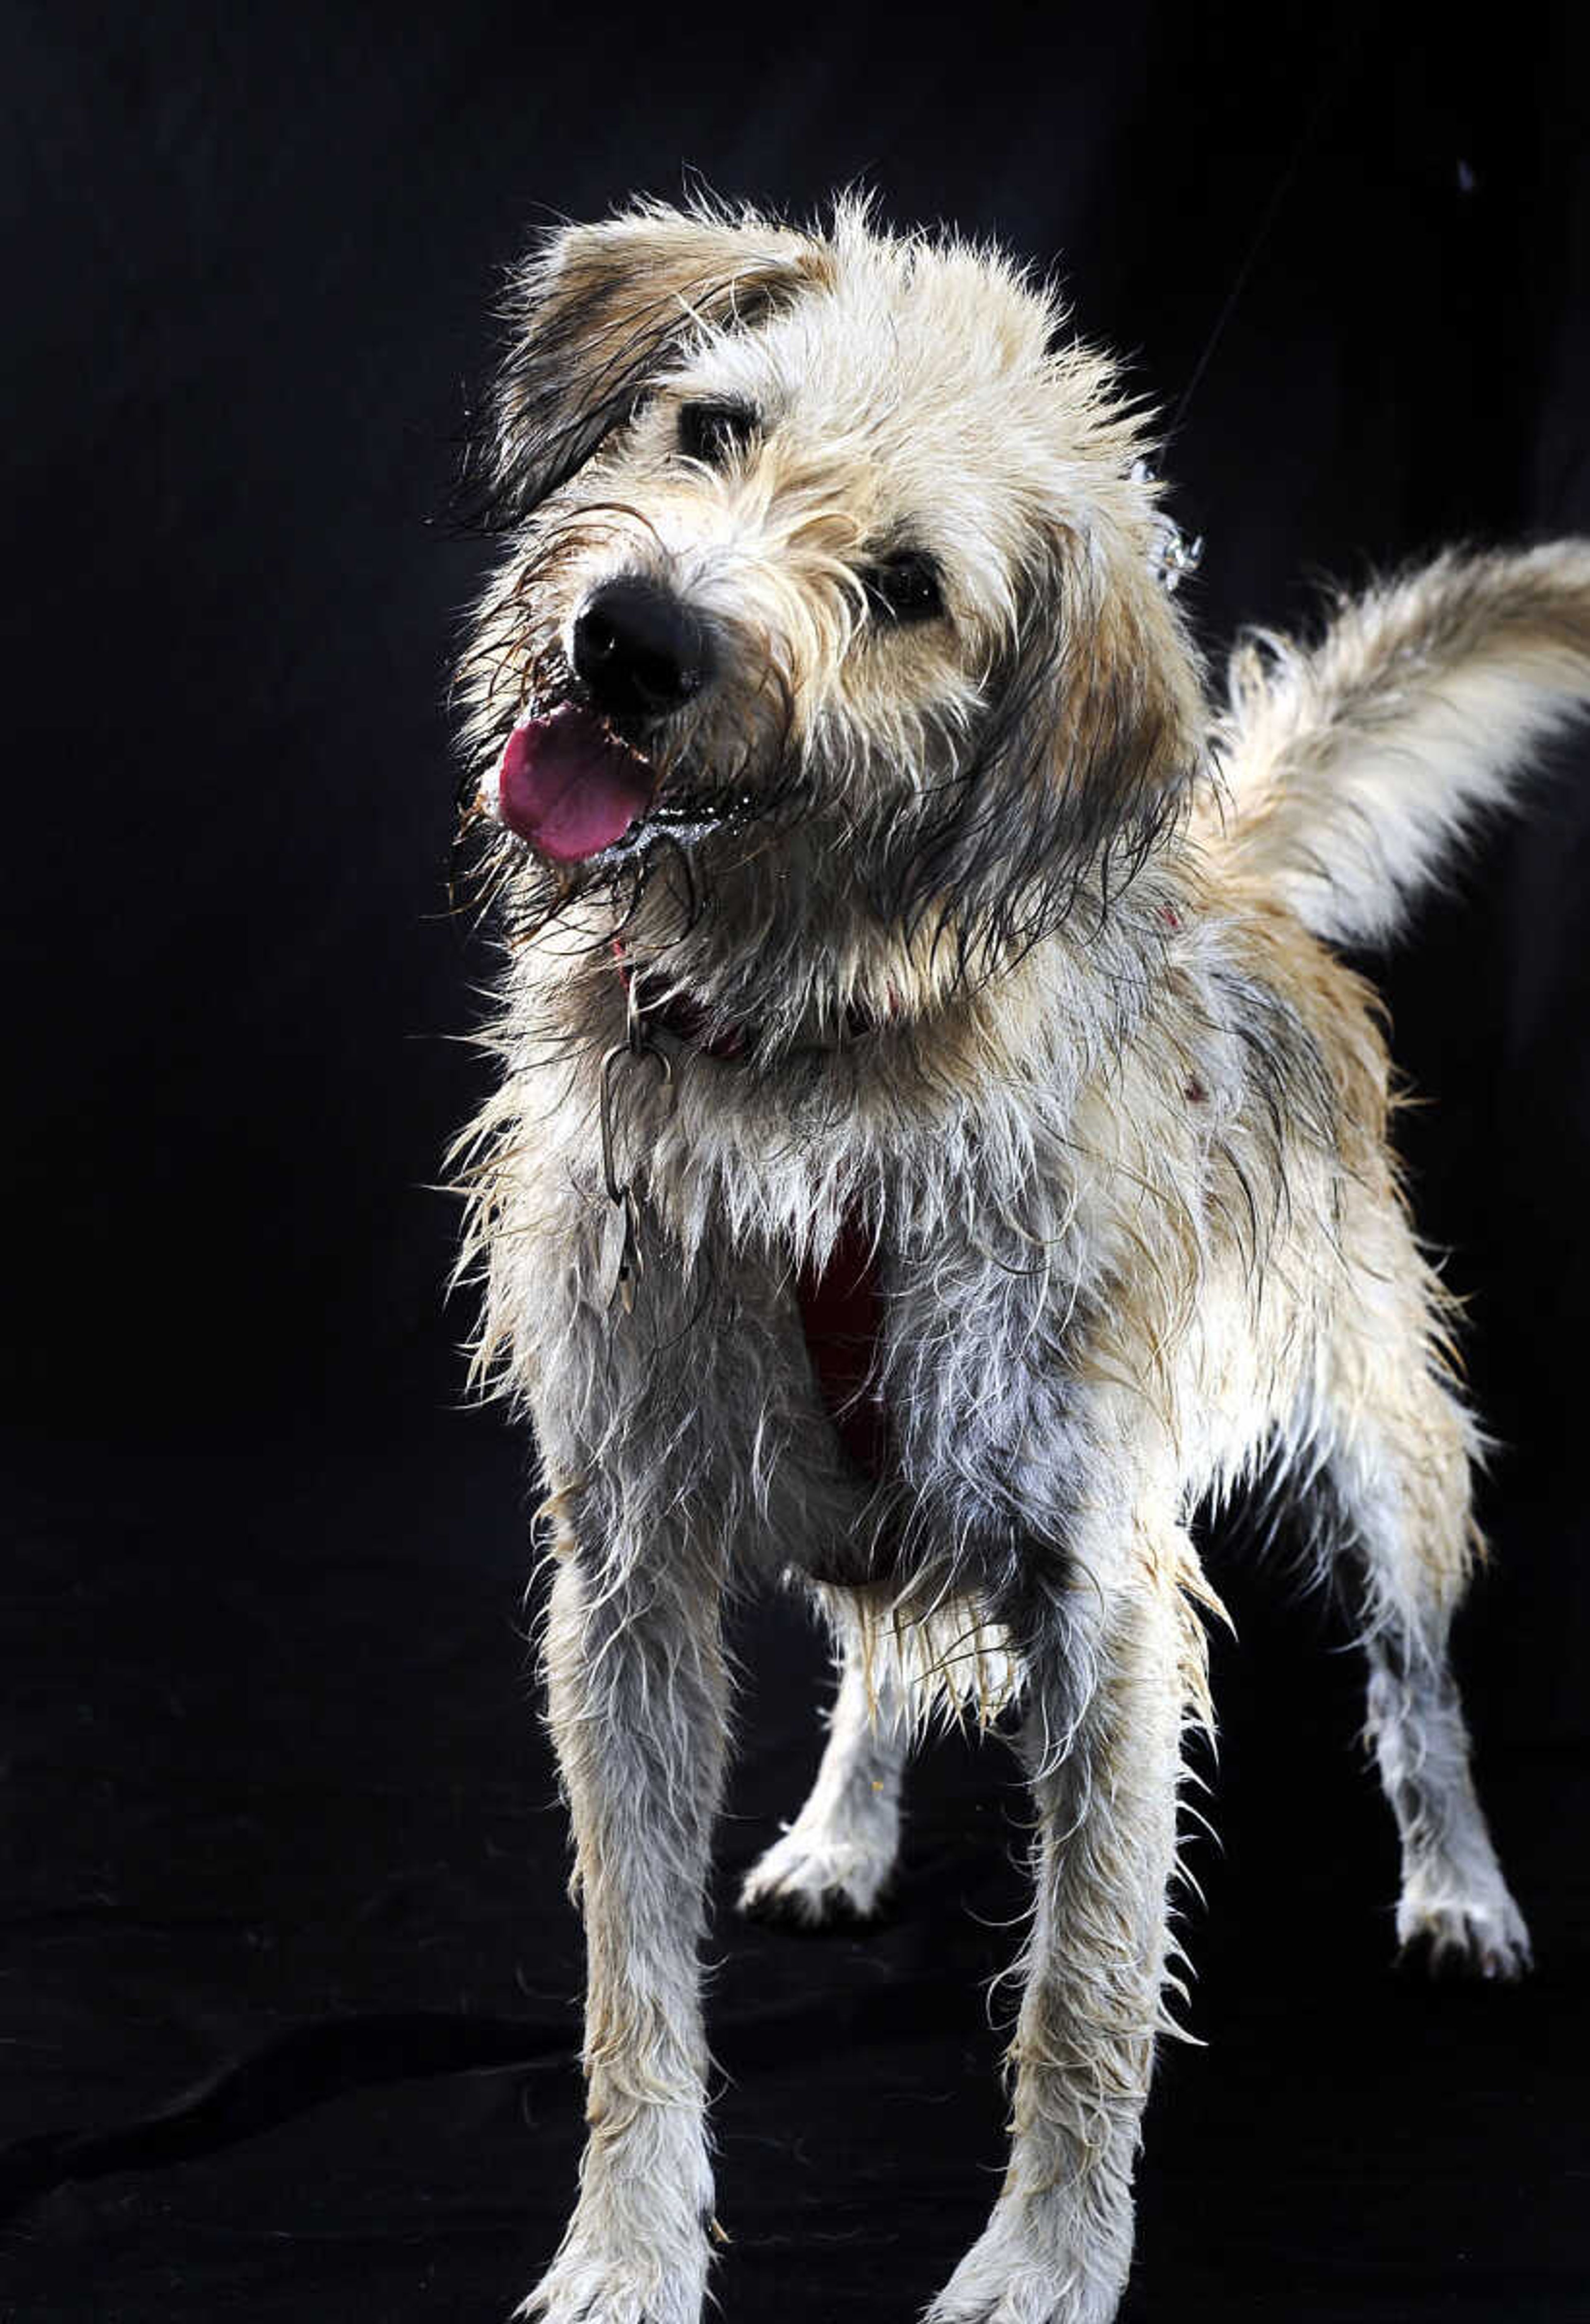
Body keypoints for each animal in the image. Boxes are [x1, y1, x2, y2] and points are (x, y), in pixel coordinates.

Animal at [451, 200, 1590, 2324]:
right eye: (711, 426)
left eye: (907, 586)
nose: (638, 638)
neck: (809, 1050)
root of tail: (1228, 870)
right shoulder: (630, 1569)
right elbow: (632, 1979)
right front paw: (628, 2247)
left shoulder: (1105, 1593)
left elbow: (1086, 1986)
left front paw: (1049, 2260)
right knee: (887, 1650)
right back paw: (841, 1824)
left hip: (1391, 1452)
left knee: (1420, 1681)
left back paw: (1461, 1882)